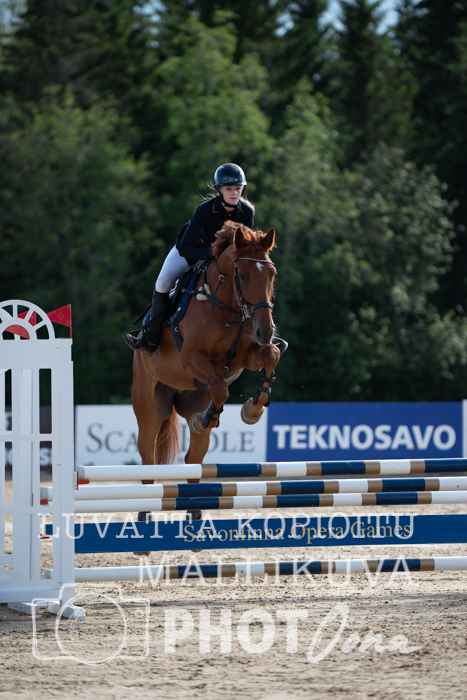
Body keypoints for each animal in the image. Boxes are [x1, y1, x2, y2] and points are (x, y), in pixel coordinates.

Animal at [131, 221, 282, 481]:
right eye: (243, 275)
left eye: (272, 275)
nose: (265, 330)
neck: (226, 307)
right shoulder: (191, 358)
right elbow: (220, 388)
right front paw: (206, 419)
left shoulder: (244, 358)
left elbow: (271, 355)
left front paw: (253, 409)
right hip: (149, 409)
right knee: (148, 458)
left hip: (192, 399)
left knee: (193, 459)